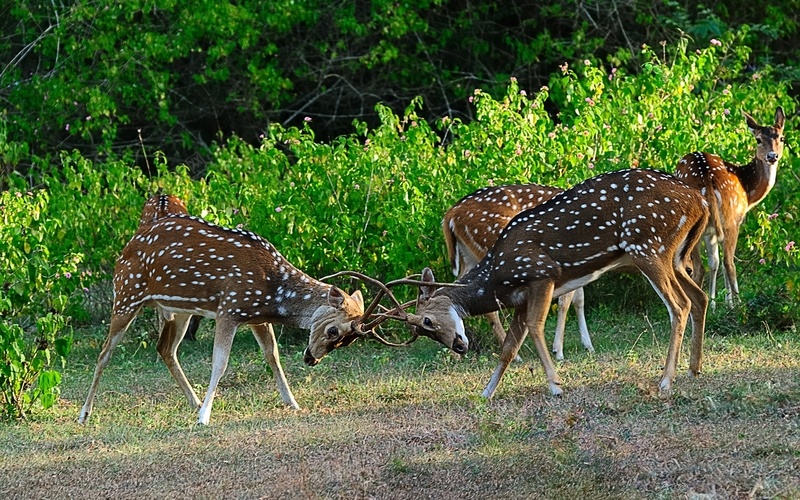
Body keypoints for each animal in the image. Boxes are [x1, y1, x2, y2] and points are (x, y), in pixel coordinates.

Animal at [79, 205, 368, 424]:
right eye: (334, 330)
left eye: (348, 341)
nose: (311, 360)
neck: (273, 291)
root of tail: (128, 244)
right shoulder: (229, 308)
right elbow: (220, 362)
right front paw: (205, 418)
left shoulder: (256, 315)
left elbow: (272, 355)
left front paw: (293, 402)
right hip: (126, 294)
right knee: (104, 353)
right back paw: (84, 414)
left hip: (179, 309)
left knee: (165, 348)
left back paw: (194, 401)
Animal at [444, 184, 592, 360]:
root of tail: (450, 215)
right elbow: (565, 301)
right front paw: (559, 351)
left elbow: (579, 299)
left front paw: (588, 345)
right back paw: (515, 355)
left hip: (469, 256)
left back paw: (455, 354)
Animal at [676, 107, 788, 306]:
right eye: (758, 139)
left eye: (781, 138)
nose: (772, 156)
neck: (748, 191)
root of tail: (706, 178)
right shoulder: (735, 220)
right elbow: (721, 262)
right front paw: (726, 303)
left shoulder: (711, 231)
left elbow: (714, 263)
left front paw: (715, 304)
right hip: (729, 220)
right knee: (725, 263)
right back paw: (738, 305)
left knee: (705, 265)